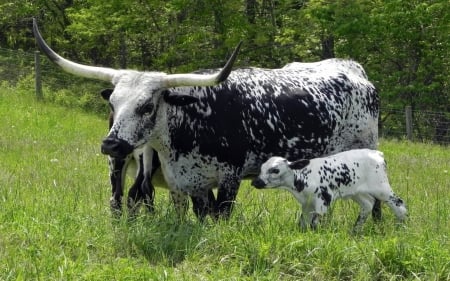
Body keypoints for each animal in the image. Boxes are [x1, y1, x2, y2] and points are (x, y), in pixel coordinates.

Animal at [33, 19, 380, 220]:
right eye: (113, 104)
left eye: (147, 106)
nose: (111, 144)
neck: (192, 121)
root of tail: (352, 68)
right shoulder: (192, 183)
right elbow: (200, 216)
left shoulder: (229, 178)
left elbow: (220, 216)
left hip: (367, 152)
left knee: (376, 200)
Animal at [251, 148, 406, 231]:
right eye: (262, 168)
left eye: (275, 170)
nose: (256, 182)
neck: (303, 177)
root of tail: (377, 153)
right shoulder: (306, 204)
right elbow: (303, 223)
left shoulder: (323, 199)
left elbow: (315, 222)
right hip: (357, 192)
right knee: (368, 205)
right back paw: (355, 231)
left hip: (381, 187)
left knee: (399, 204)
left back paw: (402, 228)